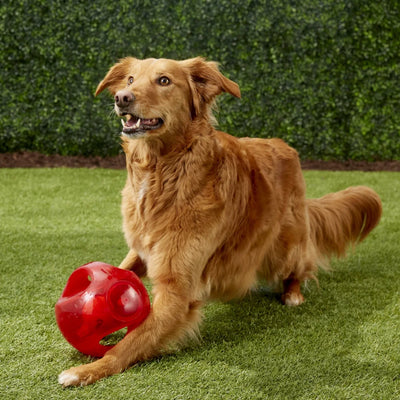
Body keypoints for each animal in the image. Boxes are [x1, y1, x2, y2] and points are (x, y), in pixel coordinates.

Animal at [58, 56, 382, 388]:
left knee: (300, 266)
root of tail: (284, 145)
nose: (122, 98)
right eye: (131, 80)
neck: (164, 172)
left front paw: (87, 370)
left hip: (285, 246)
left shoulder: (177, 290)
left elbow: (133, 339)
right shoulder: (142, 249)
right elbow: (119, 272)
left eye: (164, 80)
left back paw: (292, 294)